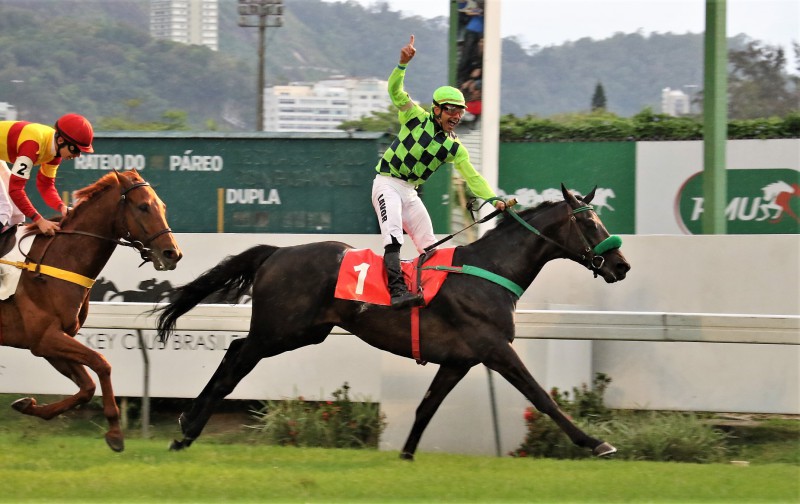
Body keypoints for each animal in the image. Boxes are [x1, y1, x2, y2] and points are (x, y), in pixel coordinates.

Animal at [0, 170, 182, 452]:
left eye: (162, 206)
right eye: (143, 206)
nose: (172, 253)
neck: (56, 261)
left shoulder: (49, 342)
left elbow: (87, 386)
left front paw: (27, 405)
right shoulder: (45, 336)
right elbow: (102, 363)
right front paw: (116, 431)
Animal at [158, 187, 632, 458]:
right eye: (590, 223)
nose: (621, 265)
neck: (487, 271)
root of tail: (276, 252)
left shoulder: (458, 360)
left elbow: (426, 407)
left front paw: (405, 455)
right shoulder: (495, 348)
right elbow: (542, 397)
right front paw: (597, 443)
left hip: (299, 332)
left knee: (235, 352)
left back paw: (185, 426)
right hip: (280, 330)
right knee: (235, 362)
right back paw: (186, 432)